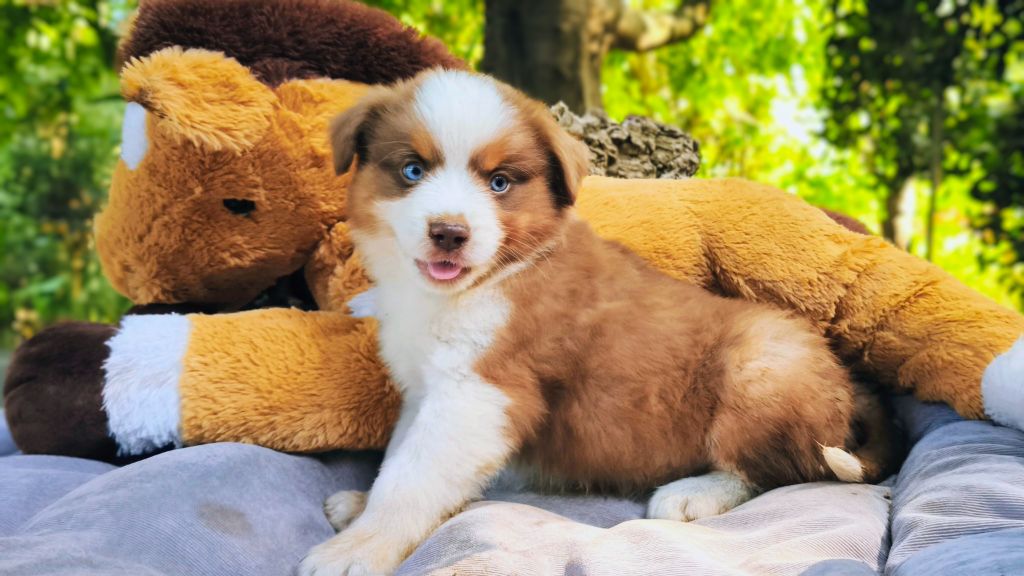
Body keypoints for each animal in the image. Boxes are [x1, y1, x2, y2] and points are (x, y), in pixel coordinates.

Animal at [299, 68, 895, 576]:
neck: (484, 281)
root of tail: (848, 385)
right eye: (412, 170)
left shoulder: (478, 395)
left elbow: (412, 478)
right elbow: (400, 457)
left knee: (787, 471)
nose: (449, 232)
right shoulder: (428, 389)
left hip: (761, 368)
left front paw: (358, 548)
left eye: (499, 183)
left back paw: (694, 493)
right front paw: (362, 506)